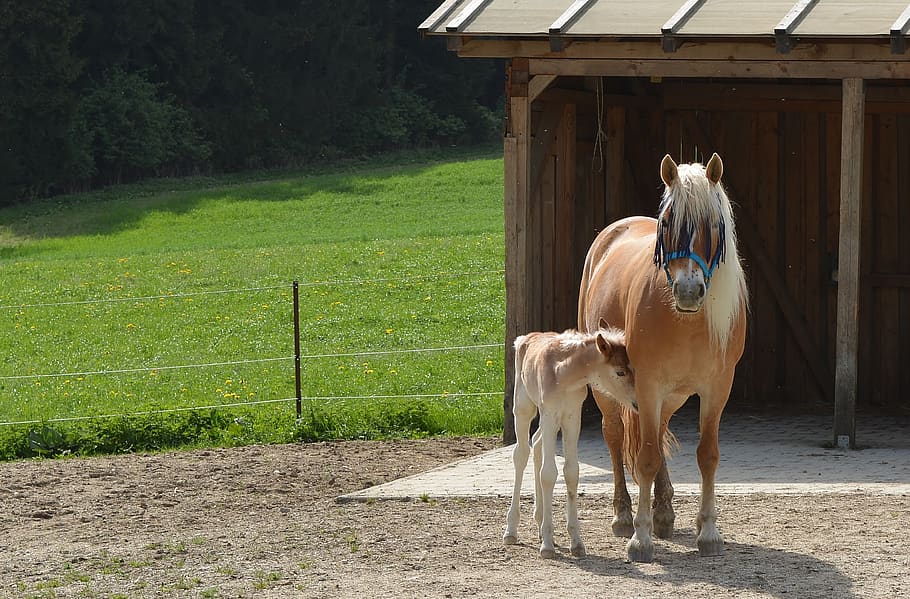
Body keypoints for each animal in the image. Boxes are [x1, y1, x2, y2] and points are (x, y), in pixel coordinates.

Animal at [503, 326, 637, 558]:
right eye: (620, 372)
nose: (637, 402)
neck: (564, 375)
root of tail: (525, 338)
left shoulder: (572, 418)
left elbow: (571, 472)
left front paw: (576, 542)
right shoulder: (550, 414)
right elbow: (548, 474)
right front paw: (547, 544)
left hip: (549, 421)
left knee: (537, 444)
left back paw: (539, 521)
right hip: (524, 408)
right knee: (521, 454)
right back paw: (512, 530)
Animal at [577, 153, 748, 563]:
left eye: (714, 224)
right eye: (668, 222)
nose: (688, 290)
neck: (685, 320)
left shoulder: (717, 388)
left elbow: (706, 455)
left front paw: (709, 532)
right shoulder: (648, 384)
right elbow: (646, 458)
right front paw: (640, 539)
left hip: (673, 396)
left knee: (656, 434)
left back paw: (664, 512)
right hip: (610, 391)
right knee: (616, 435)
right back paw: (624, 516)